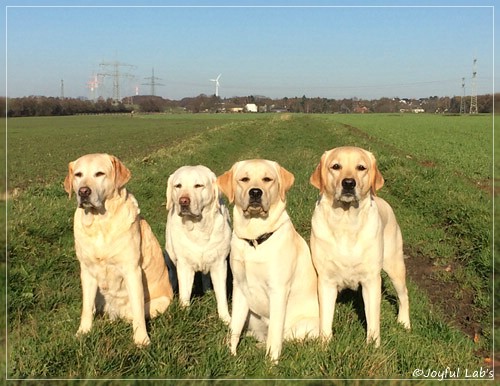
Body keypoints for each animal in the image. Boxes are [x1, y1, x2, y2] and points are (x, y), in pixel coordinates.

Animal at [64, 152, 174, 346]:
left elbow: (138, 311)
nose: (83, 191)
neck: (99, 223)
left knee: (133, 313)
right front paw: (83, 332)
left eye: (99, 173)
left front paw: (141, 339)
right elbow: (86, 307)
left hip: (162, 301)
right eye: (78, 175)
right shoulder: (87, 272)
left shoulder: (132, 271)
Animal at [166, 165, 232, 322]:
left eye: (198, 185)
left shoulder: (220, 264)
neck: (198, 228)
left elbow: (221, 295)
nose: (183, 201)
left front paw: (226, 319)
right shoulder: (184, 265)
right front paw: (184, 314)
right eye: (178, 185)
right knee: (172, 275)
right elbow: (184, 294)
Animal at [217, 159, 318, 362]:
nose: (255, 192)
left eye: (267, 179)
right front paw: (231, 355)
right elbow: (234, 328)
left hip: (302, 326)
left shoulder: (278, 290)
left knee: (282, 336)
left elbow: (275, 336)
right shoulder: (240, 287)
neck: (254, 239)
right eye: (244, 179)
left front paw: (271, 363)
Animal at [308, 147, 410, 346]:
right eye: (336, 166)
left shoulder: (371, 280)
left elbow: (373, 319)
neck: (346, 222)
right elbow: (325, 317)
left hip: (394, 266)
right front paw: (324, 345)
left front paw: (373, 346)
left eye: (361, 167)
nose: (348, 183)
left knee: (404, 294)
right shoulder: (325, 279)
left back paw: (404, 322)